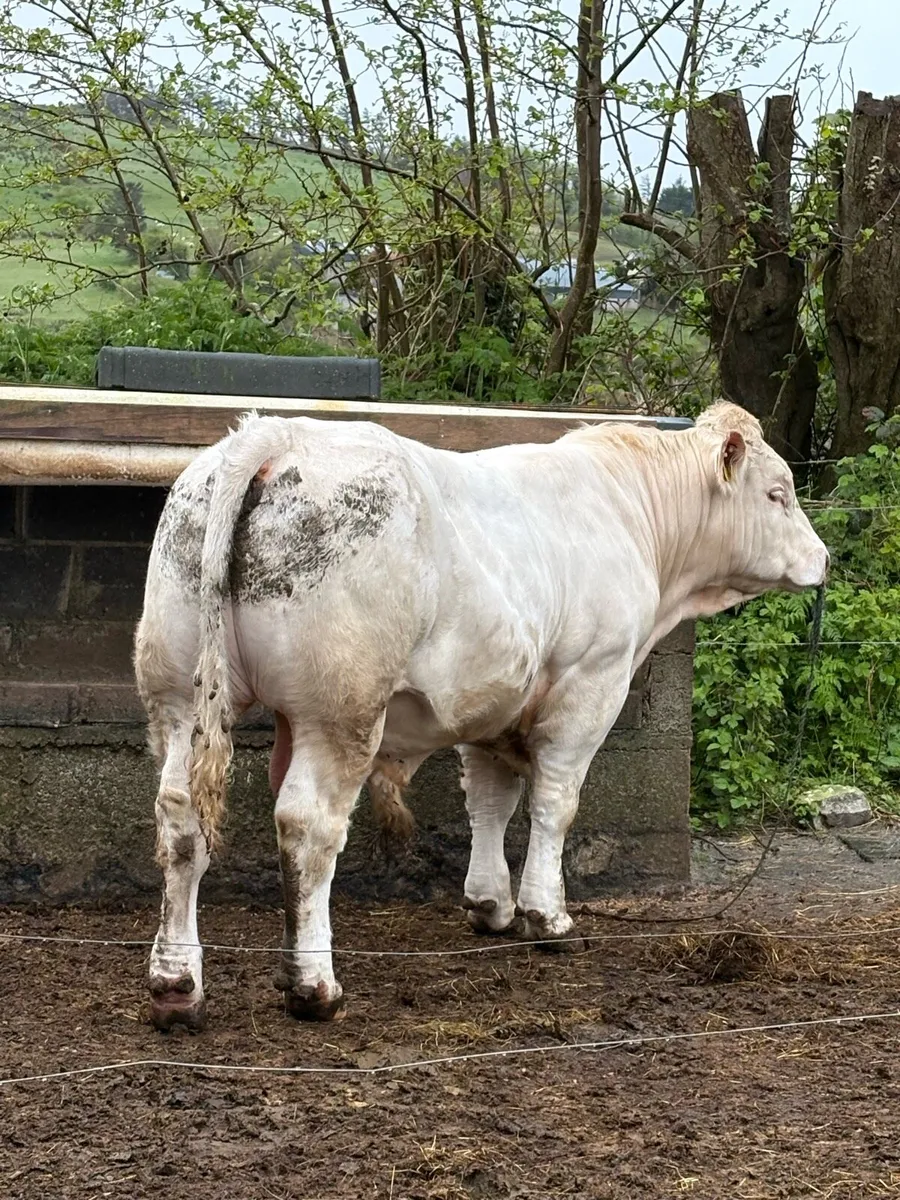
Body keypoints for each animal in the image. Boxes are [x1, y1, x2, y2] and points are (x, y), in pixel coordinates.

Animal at [134, 401, 828, 1031]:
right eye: (778, 494)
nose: (823, 559)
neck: (630, 511)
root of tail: (276, 432)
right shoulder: (592, 682)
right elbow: (555, 803)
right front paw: (548, 917)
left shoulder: (489, 698)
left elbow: (491, 803)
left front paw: (490, 903)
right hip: (341, 710)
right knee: (308, 826)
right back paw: (314, 986)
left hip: (178, 698)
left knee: (180, 817)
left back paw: (176, 985)